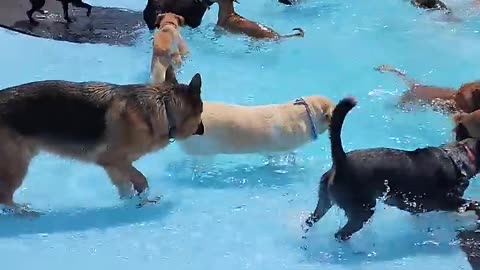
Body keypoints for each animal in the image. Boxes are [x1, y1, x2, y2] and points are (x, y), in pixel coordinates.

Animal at [0, 66, 204, 216]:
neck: (165, 106)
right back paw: (24, 212)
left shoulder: (113, 167)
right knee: (4, 197)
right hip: (17, 166)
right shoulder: (113, 159)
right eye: (201, 112)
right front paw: (144, 197)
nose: (202, 130)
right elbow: (141, 179)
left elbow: (125, 188)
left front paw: (135, 203)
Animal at [302, 97, 480, 240]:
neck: (458, 158)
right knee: (341, 234)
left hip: (324, 202)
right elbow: (473, 204)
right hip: (363, 209)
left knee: (311, 220)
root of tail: (341, 162)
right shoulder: (447, 200)